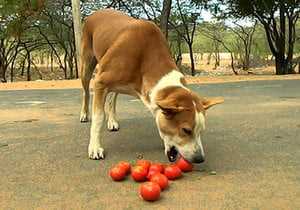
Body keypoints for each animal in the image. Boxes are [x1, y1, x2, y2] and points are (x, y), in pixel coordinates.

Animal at [79, 9, 223, 163]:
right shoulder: (100, 82)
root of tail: (98, 12)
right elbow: (98, 117)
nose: (200, 158)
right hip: (87, 65)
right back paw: (84, 114)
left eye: (201, 131)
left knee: (112, 97)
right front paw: (95, 147)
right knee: (86, 92)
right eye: (186, 130)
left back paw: (112, 120)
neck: (145, 57)